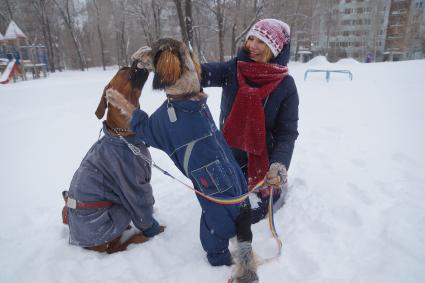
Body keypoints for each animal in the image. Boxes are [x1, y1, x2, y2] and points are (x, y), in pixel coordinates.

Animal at [63, 63, 164, 254]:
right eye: (127, 72)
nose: (136, 64)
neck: (122, 136)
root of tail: (83, 244)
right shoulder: (134, 186)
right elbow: (143, 210)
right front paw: (155, 230)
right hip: (119, 211)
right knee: (115, 248)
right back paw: (136, 238)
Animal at [106, 38, 258, 282]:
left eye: (153, 50)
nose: (138, 53)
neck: (185, 96)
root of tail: (243, 211)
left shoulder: (151, 128)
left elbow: (132, 112)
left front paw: (113, 97)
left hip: (213, 226)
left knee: (220, 254)